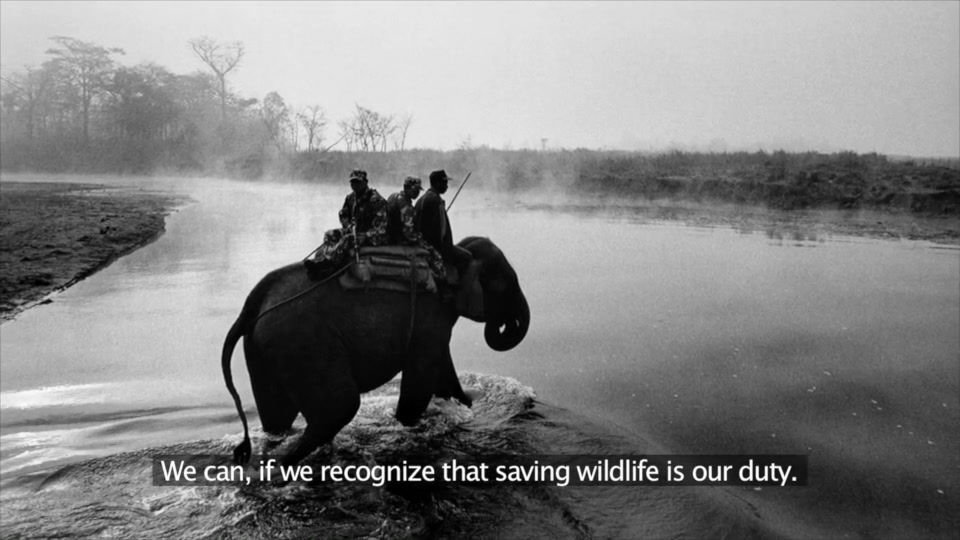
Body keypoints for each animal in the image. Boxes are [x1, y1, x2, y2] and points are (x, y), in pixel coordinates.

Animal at [221, 237, 530, 465]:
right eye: (506, 283)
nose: (506, 322)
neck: (453, 255)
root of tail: (251, 306)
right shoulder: (430, 320)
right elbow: (421, 381)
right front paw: (411, 425)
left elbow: (443, 375)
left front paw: (467, 404)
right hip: (303, 343)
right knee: (339, 407)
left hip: (264, 350)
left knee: (277, 418)